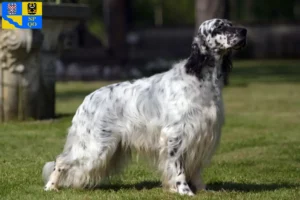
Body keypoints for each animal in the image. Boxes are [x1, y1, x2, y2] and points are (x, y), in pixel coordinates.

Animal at [44, 18, 246, 195]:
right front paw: (184, 191)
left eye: (231, 24)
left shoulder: (202, 134)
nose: (244, 31)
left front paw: (203, 190)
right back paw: (50, 187)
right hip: (96, 146)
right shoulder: (175, 135)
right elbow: (178, 168)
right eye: (219, 27)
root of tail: (87, 100)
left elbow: (196, 170)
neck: (200, 78)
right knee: (60, 161)